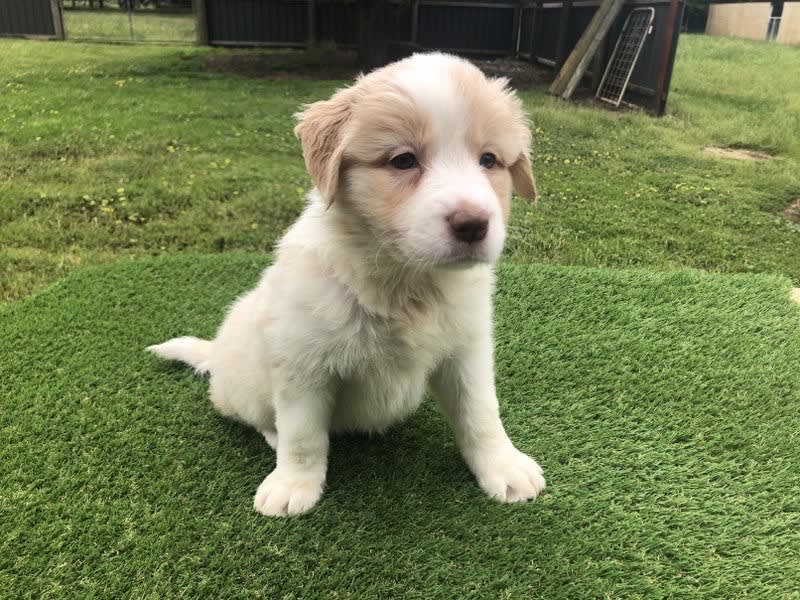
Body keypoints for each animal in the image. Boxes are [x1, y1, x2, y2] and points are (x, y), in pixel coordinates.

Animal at [148, 52, 544, 516]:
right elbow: (303, 435)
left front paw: (504, 467)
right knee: (263, 420)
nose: (473, 224)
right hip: (243, 388)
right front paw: (293, 485)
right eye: (403, 161)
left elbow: (481, 414)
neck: (405, 280)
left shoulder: (466, 351)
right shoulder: (303, 365)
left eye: (489, 160)